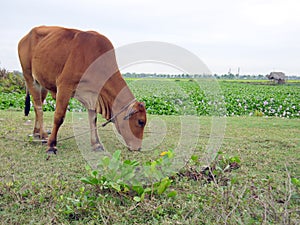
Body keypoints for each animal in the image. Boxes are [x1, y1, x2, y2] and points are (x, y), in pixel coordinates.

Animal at [17, 25, 146, 153]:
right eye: (140, 121)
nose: (138, 147)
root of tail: (26, 36)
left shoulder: (93, 95)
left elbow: (93, 119)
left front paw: (96, 144)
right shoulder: (64, 86)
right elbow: (59, 117)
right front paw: (52, 145)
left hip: (43, 84)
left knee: (37, 106)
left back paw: (37, 133)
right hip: (29, 77)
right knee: (38, 108)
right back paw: (44, 135)